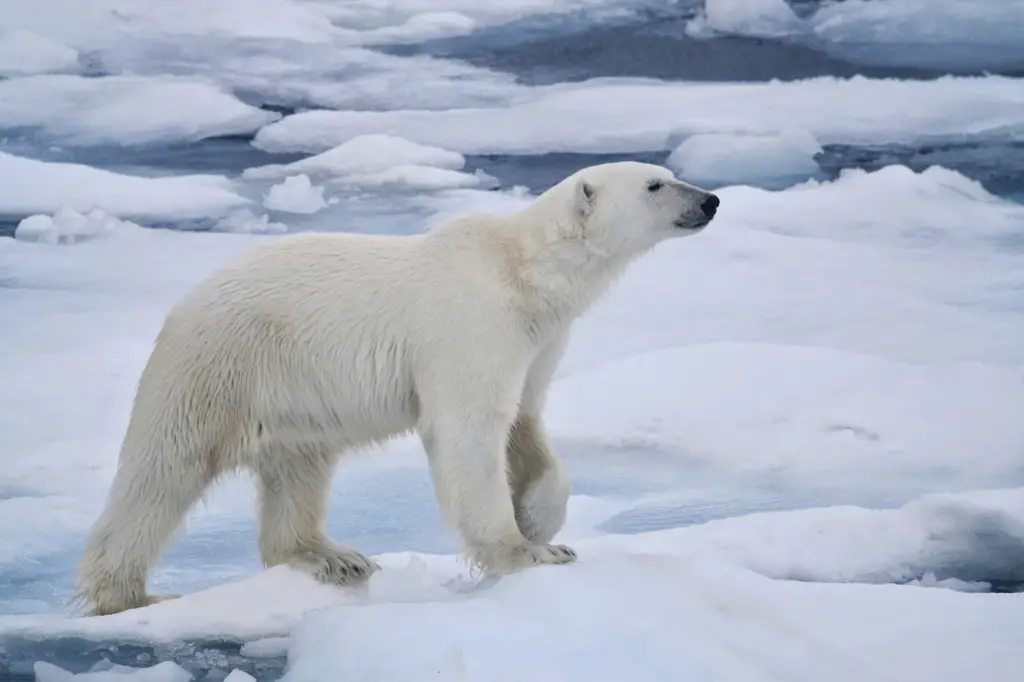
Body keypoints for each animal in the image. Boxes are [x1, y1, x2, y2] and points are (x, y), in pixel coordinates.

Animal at [74, 160, 720, 614]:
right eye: (656, 184)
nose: (711, 199)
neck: (524, 270)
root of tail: (181, 306)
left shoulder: (536, 339)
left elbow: (525, 421)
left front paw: (539, 519)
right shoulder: (471, 320)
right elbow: (469, 430)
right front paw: (528, 552)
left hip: (291, 395)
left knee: (299, 469)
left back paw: (331, 557)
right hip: (219, 366)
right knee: (164, 469)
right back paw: (128, 594)